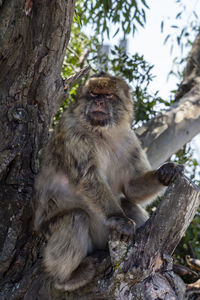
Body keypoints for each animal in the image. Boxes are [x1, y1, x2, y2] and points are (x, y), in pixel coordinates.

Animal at [33, 72, 184, 290]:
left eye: (109, 96)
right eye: (94, 94)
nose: (99, 101)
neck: (102, 133)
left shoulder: (130, 140)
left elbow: (130, 187)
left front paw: (165, 172)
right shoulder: (72, 133)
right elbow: (88, 179)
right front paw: (119, 219)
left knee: (127, 203)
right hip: (46, 237)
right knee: (76, 217)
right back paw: (66, 278)